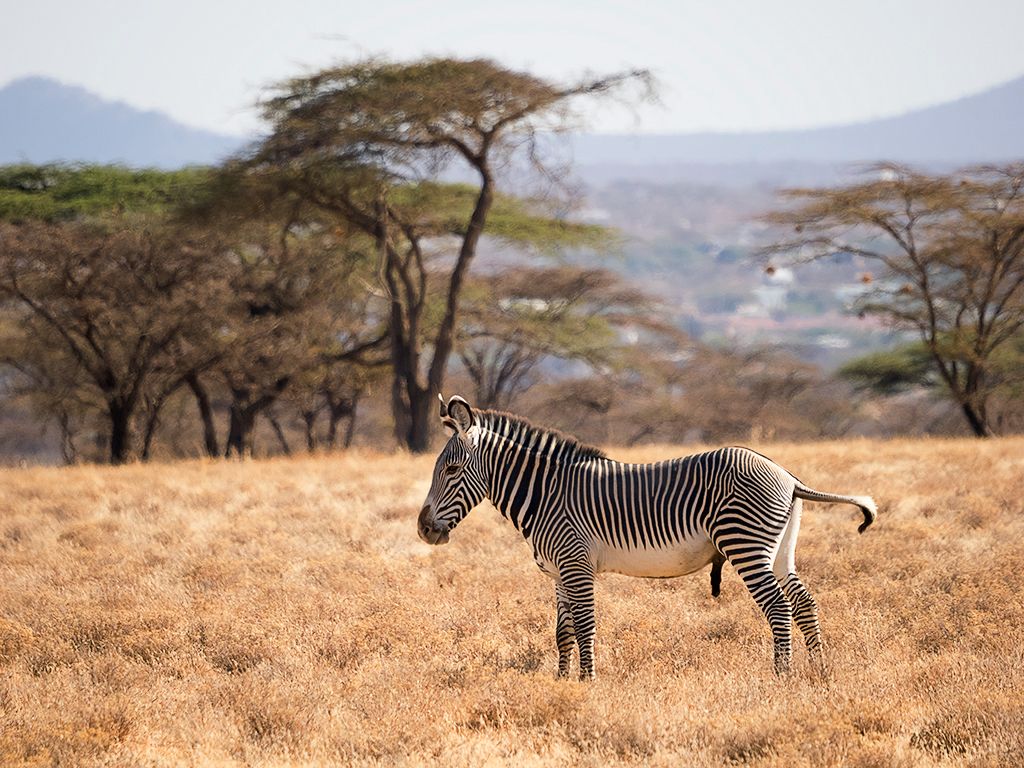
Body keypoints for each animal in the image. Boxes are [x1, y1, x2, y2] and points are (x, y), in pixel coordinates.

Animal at [418, 395, 876, 680]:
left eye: (452, 470)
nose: (424, 529)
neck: (546, 493)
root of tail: (787, 475)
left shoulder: (576, 563)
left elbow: (585, 625)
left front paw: (588, 682)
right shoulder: (559, 573)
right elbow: (562, 630)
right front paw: (562, 681)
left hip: (745, 545)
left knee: (779, 607)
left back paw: (781, 676)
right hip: (780, 549)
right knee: (803, 602)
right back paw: (818, 669)